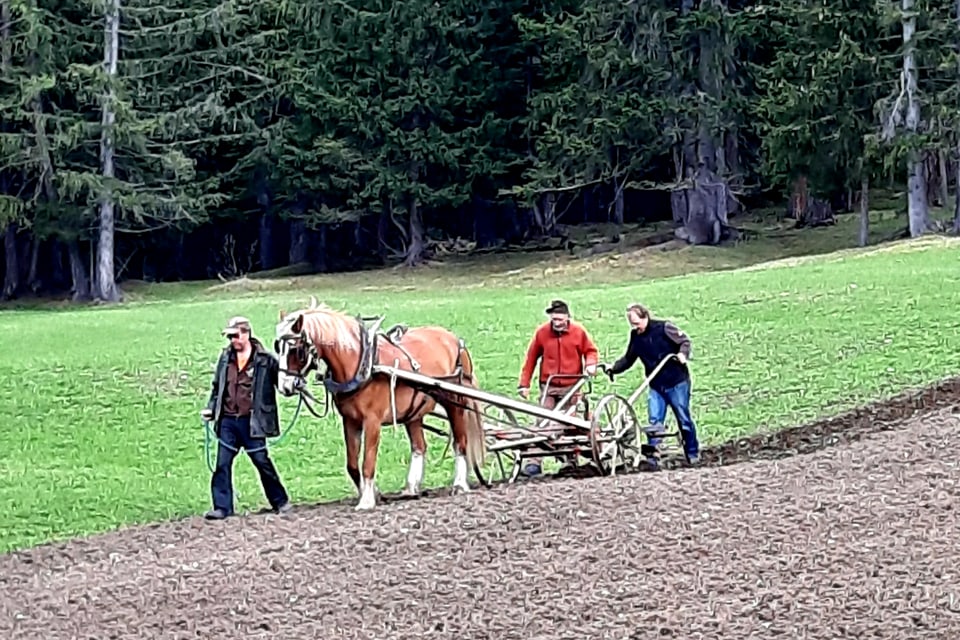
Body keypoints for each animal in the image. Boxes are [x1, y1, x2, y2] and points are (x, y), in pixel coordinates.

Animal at [276, 298, 488, 512]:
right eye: (278, 347)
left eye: (296, 349)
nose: (285, 386)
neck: (362, 363)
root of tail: (454, 339)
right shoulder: (350, 421)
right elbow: (352, 464)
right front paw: (373, 493)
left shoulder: (372, 421)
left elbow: (368, 462)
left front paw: (367, 501)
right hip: (414, 412)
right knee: (419, 446)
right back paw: (411, 488)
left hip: (455, 403)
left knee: (460, 441)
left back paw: (459, 484)